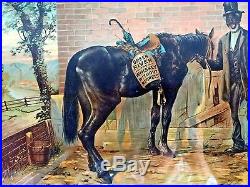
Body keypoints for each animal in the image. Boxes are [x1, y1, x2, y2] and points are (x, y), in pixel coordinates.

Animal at [63, 28, 214, 183]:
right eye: (212, 47)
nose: (213, 64)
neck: (177, 50)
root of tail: (78, 57)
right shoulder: (171, 89)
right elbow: (166, 116)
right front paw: (166, 149)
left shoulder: (156, 89)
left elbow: (155, 116)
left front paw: (153, 149)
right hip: (105, 104)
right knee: (85, 133)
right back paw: (103, 171)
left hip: (88, 105)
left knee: (87, 132)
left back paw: (93, 166)